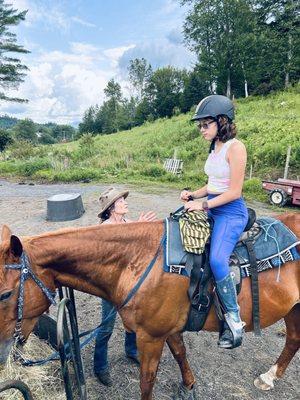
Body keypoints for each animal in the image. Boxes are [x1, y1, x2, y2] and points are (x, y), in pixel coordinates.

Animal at [0, 212, 298, 400]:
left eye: (4, 294)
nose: (3, 356)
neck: (137, 260)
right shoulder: (168, 330)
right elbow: (180, 354)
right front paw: (188, 386)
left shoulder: (151, 337)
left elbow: (147, 380)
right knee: (293, 340)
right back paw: (270, 376)